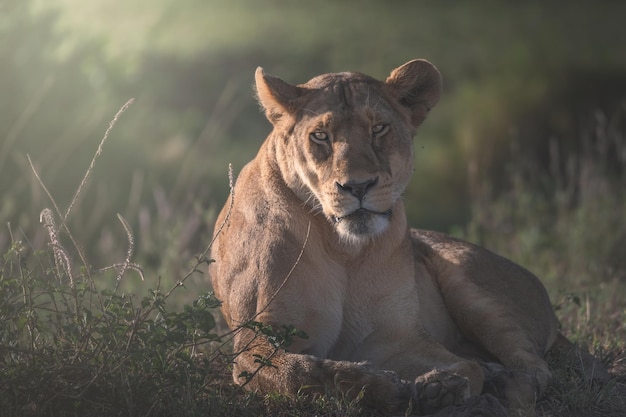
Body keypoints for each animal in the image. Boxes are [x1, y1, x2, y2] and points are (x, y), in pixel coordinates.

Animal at [208, 57, 604, 412]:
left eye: (379, 129)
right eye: (320, 136)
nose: (358, 186)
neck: (344, 248)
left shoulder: (396, 338)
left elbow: (465, 367)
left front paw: (442, 388)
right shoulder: (257, 339)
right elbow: (302, 372)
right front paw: (379, 387)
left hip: (470, 284)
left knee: (537, 368)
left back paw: (501, 384)